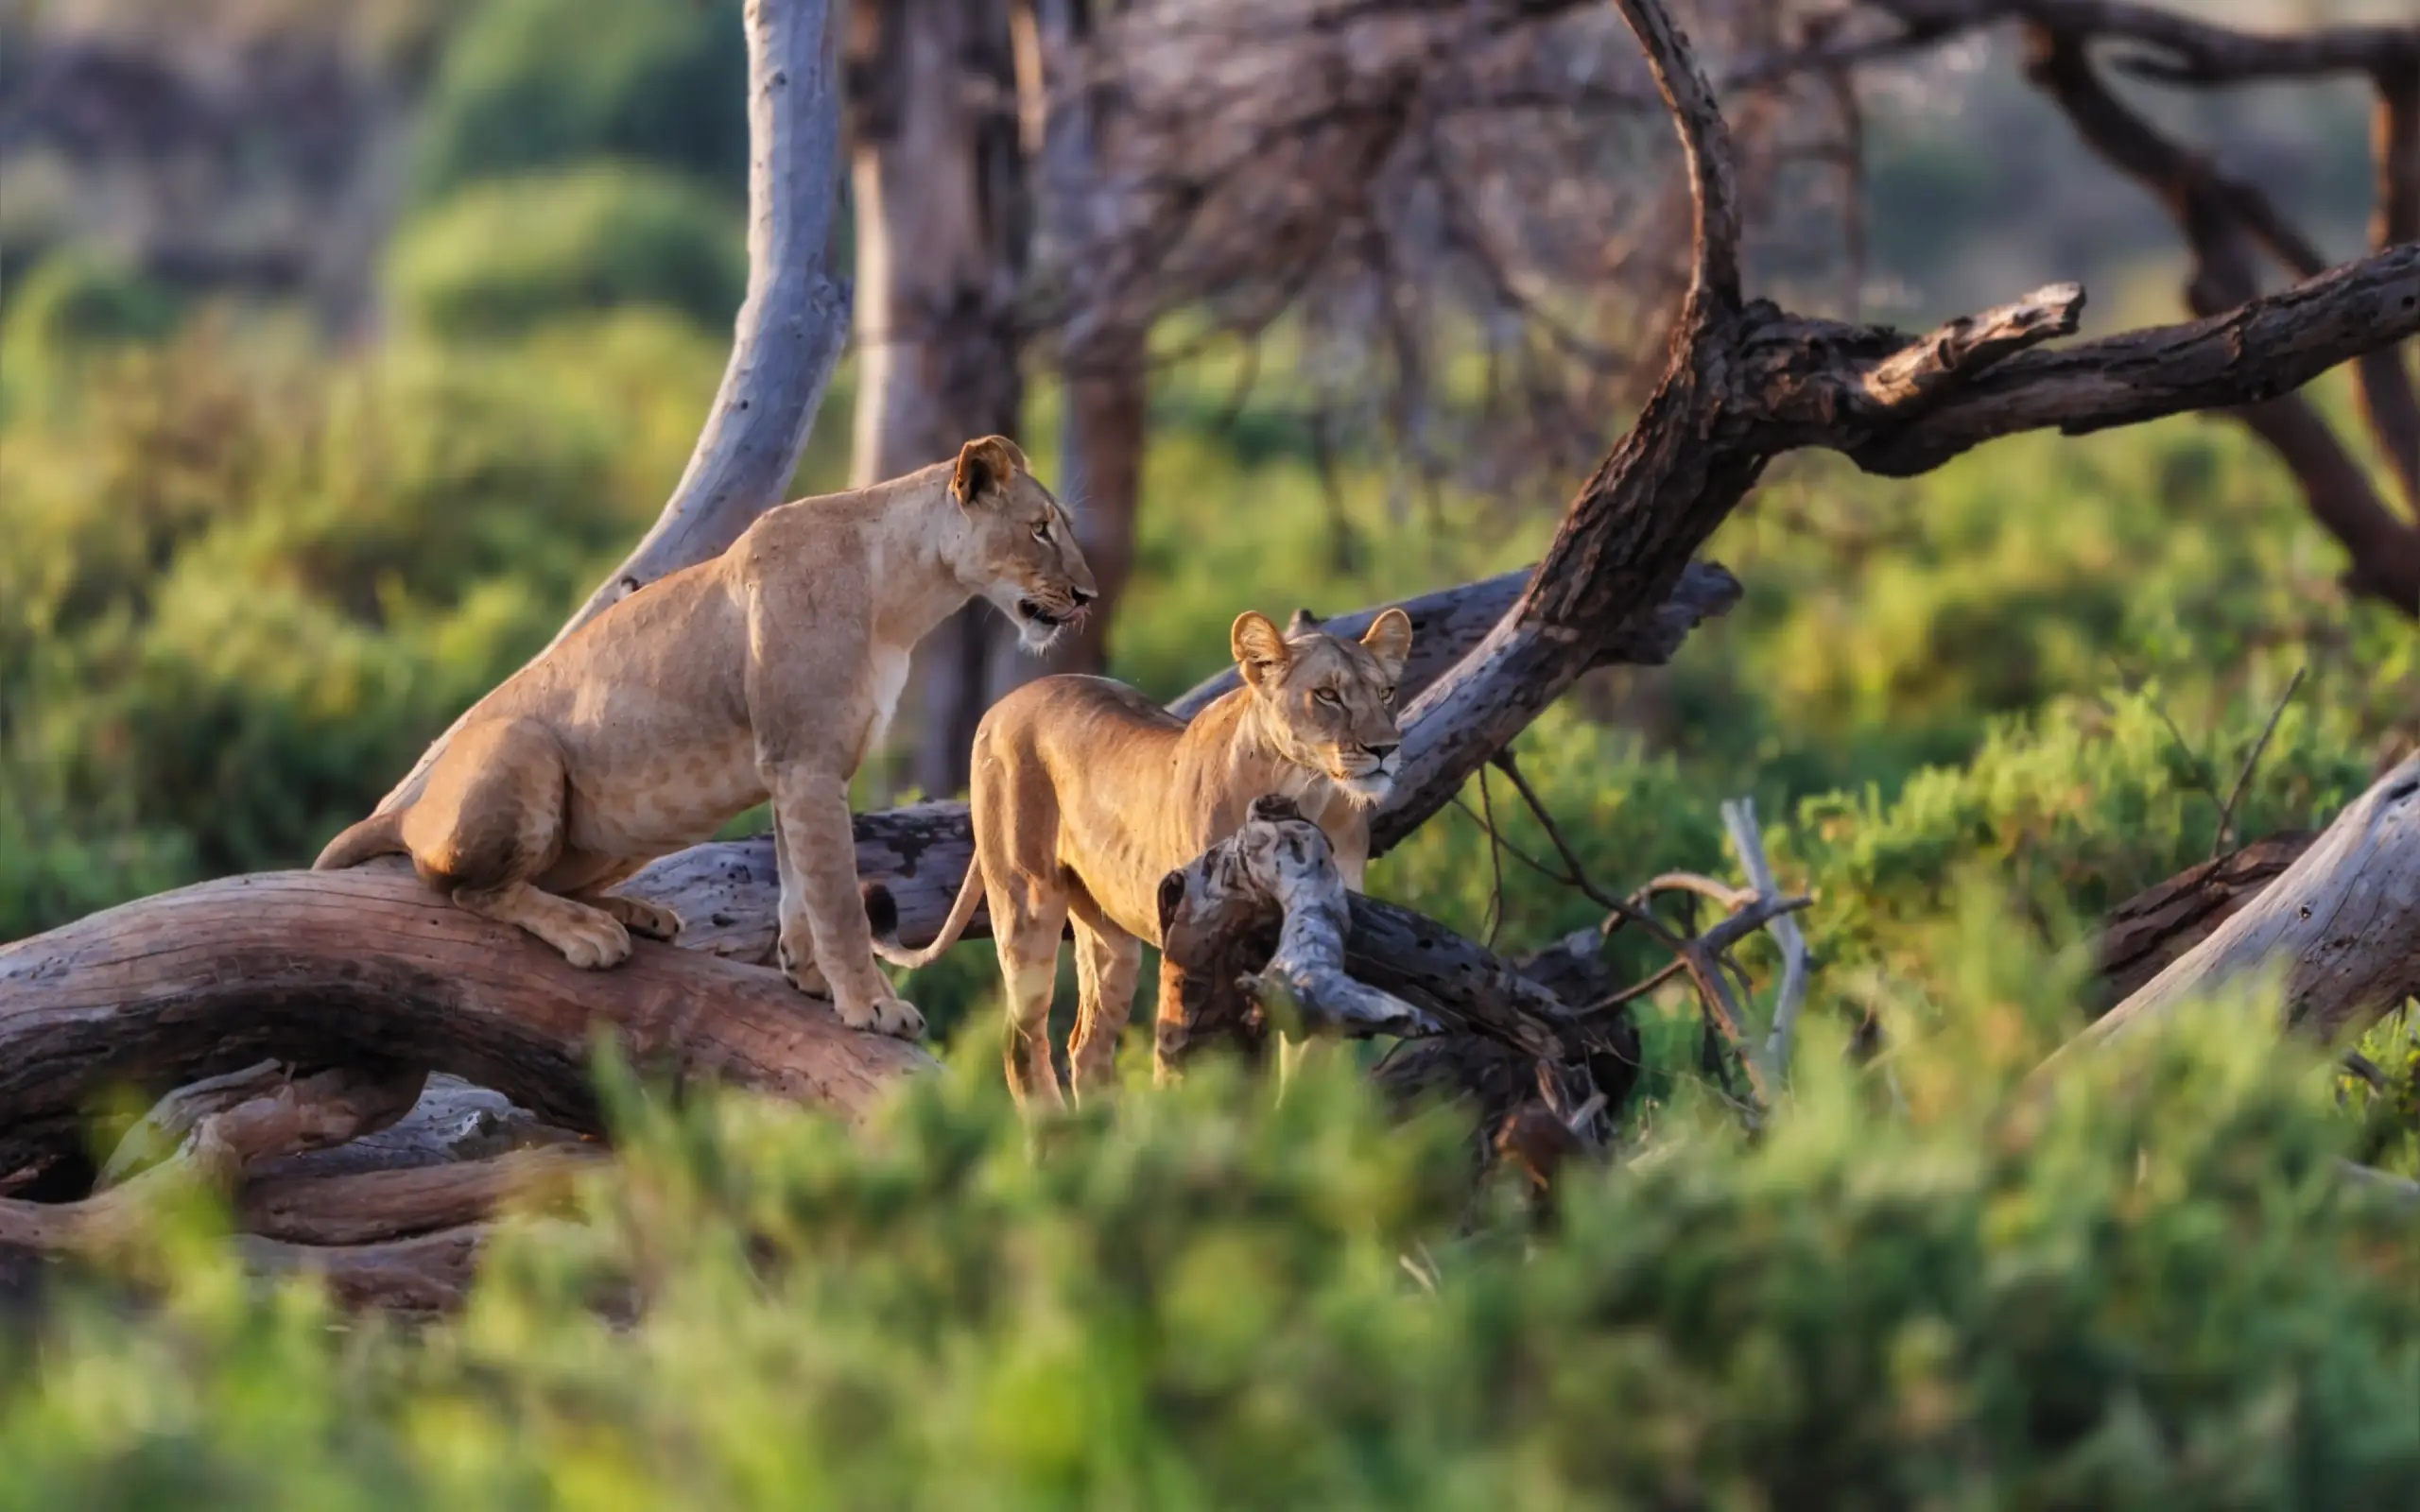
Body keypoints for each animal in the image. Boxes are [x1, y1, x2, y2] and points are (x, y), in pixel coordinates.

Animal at [313, 436, 1096, 1040]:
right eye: (1039, 528)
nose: (1088, 597)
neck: (903, 595)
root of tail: (408, 812)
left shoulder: (794, 768)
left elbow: (798, 884)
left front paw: (808, 976)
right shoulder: (807, 763)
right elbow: (839, 896)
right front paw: (872, 1005)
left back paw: (634, 913)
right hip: (524, 751)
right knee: (465, 888)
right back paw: (587, 932)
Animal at [875, 606, 1413, 1102]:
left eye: (1386, 693)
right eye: (1327, 694)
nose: (1387, 749)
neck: (1308, 788)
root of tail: (1001, 704)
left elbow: (1307, 1067)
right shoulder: (1195, 932)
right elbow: (1192, 1057)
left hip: (1108, 935)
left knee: (1086, 1046)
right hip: (1026, 900)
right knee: (1022, 1042)